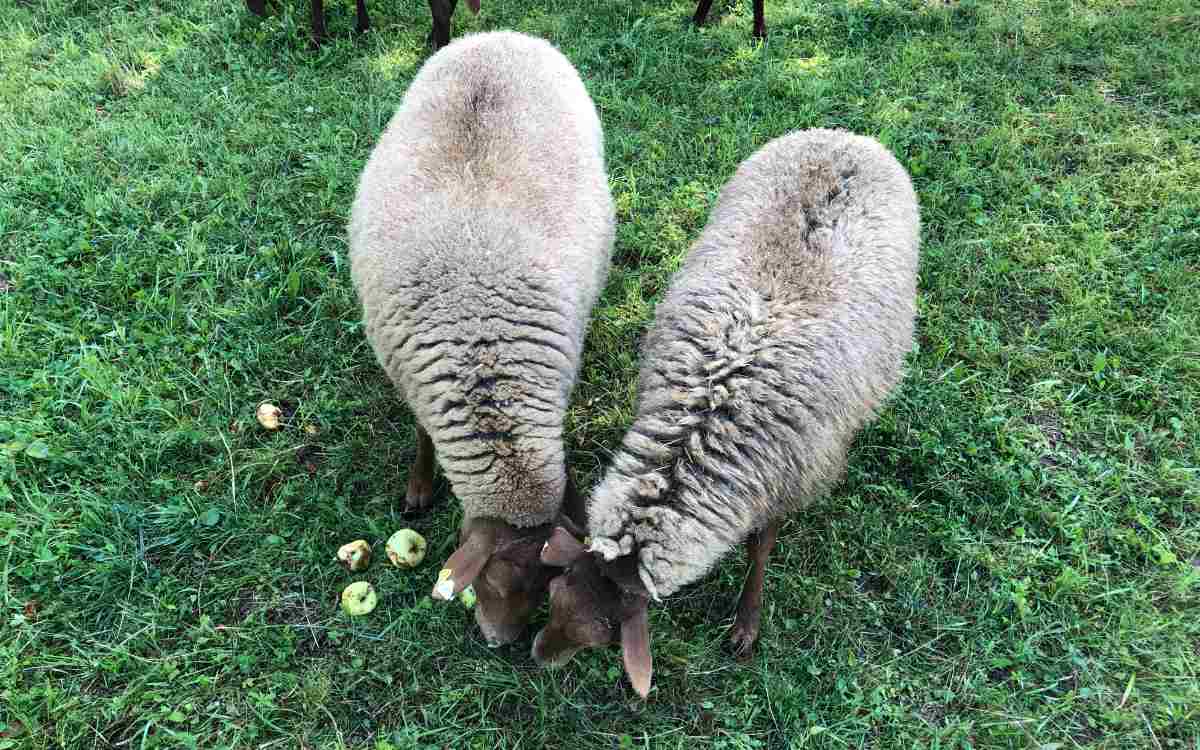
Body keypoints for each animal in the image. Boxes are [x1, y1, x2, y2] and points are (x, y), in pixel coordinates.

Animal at [345, 30, 609, 643]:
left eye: (547, 586)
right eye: (489, 578)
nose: (499, 642)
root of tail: (499, 35)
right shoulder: (413, 373)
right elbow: (422, 434)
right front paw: (419, 489)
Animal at [532, 128, 916, 696]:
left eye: (603, 635)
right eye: (555, 593)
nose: (538, 657)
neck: (705, 426)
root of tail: (845, 137)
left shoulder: (786, 478)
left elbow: (761, 548)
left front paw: (746, 624)